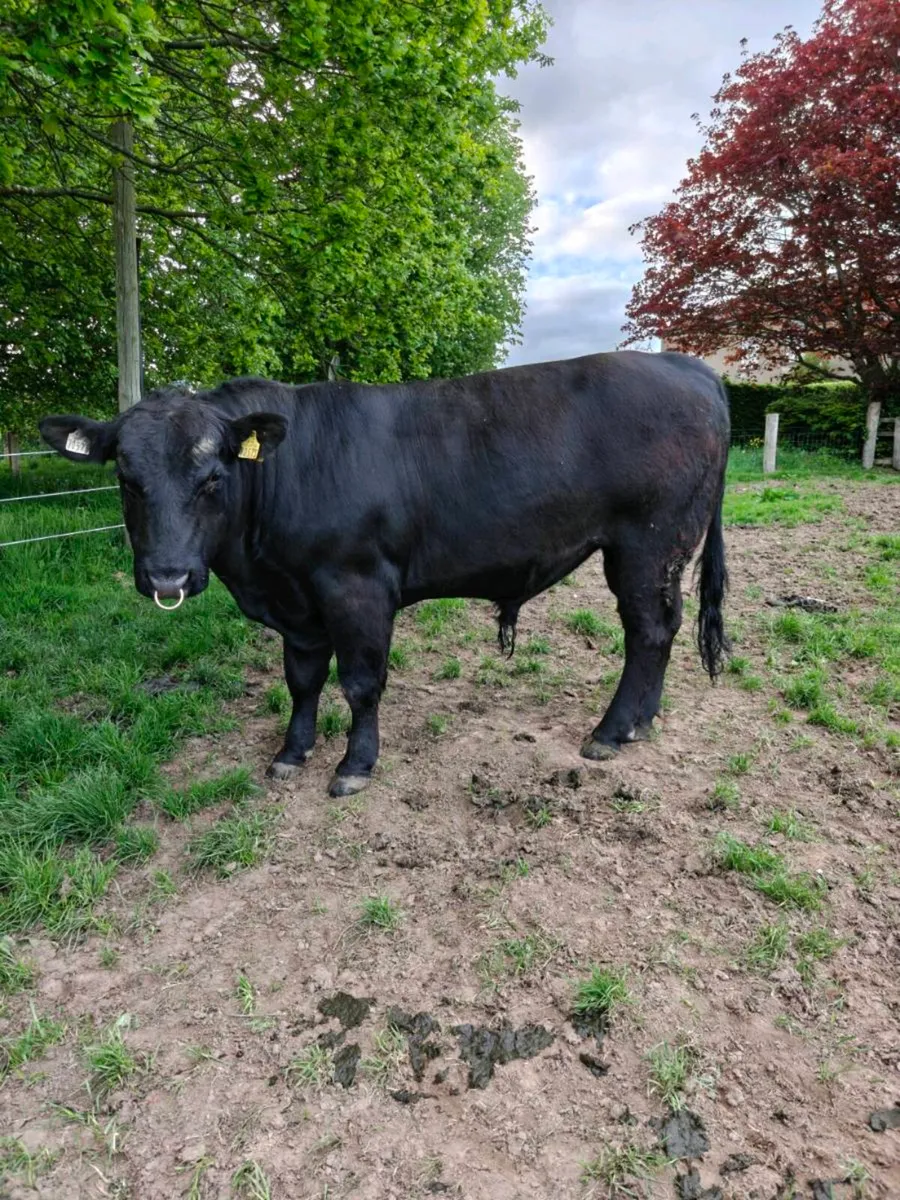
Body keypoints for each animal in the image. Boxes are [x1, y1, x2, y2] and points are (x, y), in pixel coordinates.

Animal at [39, 350, 730, 797]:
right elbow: (303, 681)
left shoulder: (357, 587)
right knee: (662, 630)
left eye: (213, 477)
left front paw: (354, 766)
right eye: (127, 479)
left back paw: (610, 731)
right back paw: (642, 721)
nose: (168, 578)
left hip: (647, 545)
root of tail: (687, 366)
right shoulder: (298, 604)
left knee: (646, 631)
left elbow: (361, 683)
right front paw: (291, 754)